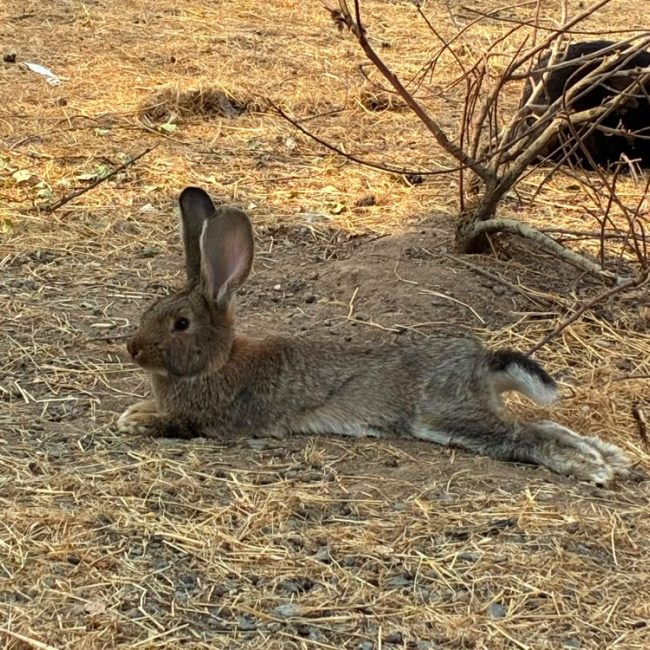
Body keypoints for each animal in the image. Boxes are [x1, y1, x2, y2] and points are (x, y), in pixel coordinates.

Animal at [118, 187, 640, 486]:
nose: (133, 349)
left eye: (180, 324)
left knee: (526, 435)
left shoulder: (214, 420)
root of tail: (480, 361)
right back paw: (612, 457)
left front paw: (137, 421)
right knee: (547, 424)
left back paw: (594, 469)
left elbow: (177, 425)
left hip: (446, 415)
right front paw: (135, 410)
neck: (216, 361)